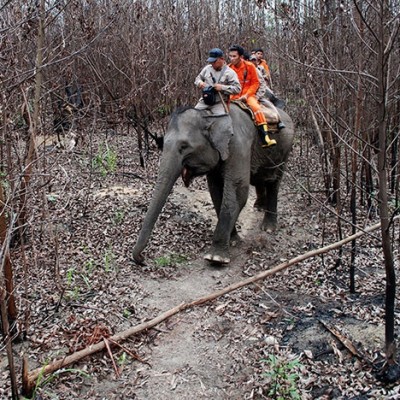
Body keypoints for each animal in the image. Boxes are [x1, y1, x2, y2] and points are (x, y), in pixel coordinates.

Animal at [132, 104, 294, 266]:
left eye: (184, 146)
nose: (142, 259)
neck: (210, 115)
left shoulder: (239, 145)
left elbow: (238, 191)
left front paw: (216, 258)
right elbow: (216, 191)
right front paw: (233, 241)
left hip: (285, 150)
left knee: (274, 182)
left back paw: (268, 228)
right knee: (259, 178)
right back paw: (259, 206)